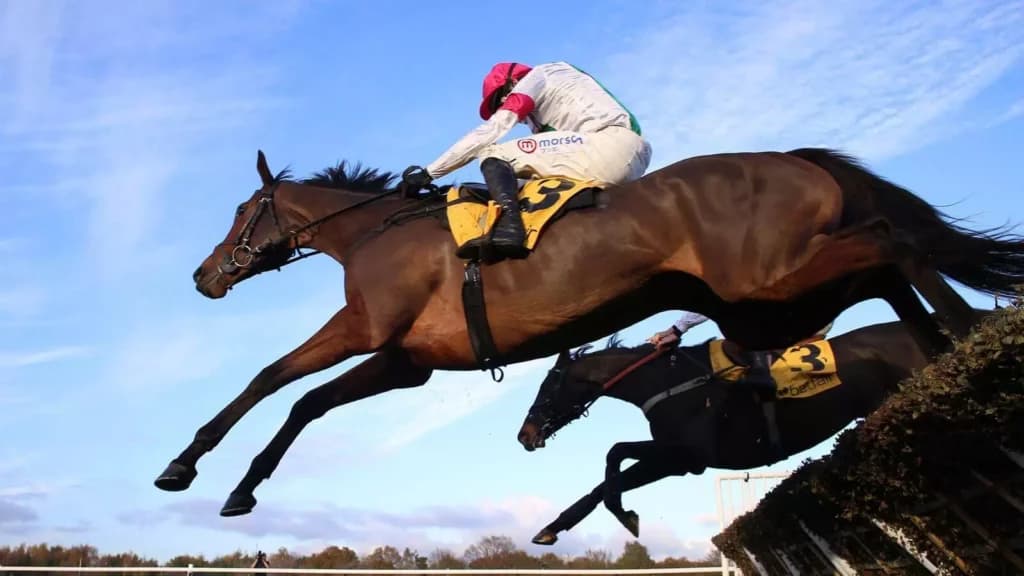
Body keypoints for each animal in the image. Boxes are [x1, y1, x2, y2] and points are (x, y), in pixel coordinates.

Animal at [155, 146, 1024, 517]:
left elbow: (270, 378)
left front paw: (184, 464)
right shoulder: (406, 361)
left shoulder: (364, 325)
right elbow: (306, 405)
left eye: (242, 212)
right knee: (884, 266)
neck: (374, 231)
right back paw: (944, 357)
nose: (203, 275)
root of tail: (791, 155)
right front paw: (243, 486)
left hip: (769, 284)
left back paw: (964, 345)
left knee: (891, 239)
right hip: (771, 299)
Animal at [515, 312, 989, 545]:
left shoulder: (685, 457)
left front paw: (623, 516)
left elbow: (612, 460)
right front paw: (555, 527)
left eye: (547, 386)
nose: (525, 435)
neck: (667, 381)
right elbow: (607, 471)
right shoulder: (675, 455)